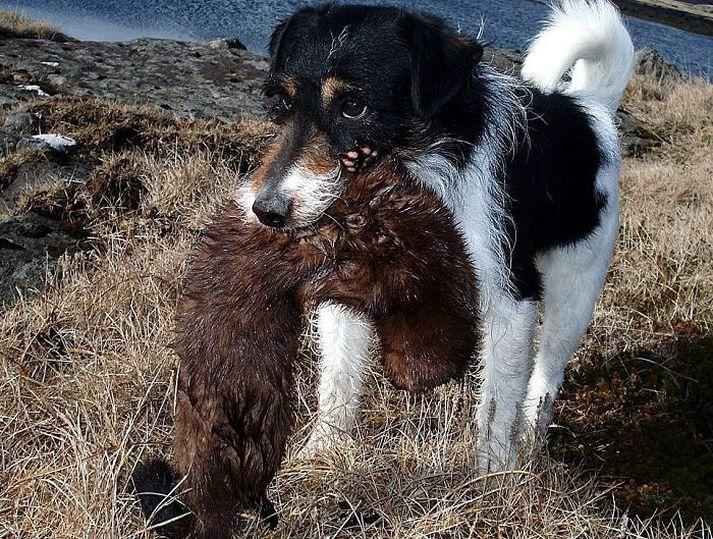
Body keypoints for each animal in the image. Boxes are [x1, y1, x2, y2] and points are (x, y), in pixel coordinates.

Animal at [235, 0, 636, 472]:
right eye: (281, 102)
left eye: (353, 105)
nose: (267, 211)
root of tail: (592, 109)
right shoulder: (346, 290)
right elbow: (339, 381)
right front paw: (323, 452)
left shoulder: (512, 302)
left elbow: (497, 407)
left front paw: (492, 478)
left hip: (574, 294)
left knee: (545, 376)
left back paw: (532, 441)